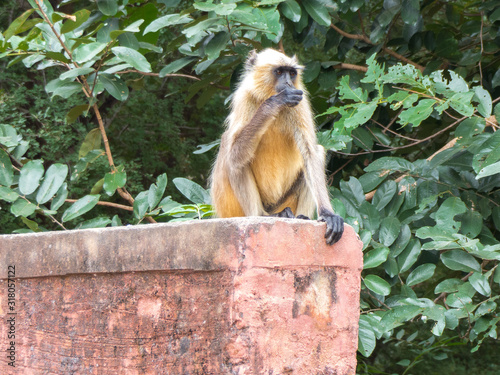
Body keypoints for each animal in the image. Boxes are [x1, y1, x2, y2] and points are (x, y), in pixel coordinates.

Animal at [210, 48, 344, 245]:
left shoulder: (300, 100)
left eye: (292, 73)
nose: (288, 82)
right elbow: (234, 154)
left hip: (285, 203)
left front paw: (327, 214)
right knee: (232, 154)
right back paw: (261, 215)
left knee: (317, 152)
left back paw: (301, 217)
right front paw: (273, 104)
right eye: (279, 72)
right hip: (231, 208)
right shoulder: (244, 97)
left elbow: (310, 153)